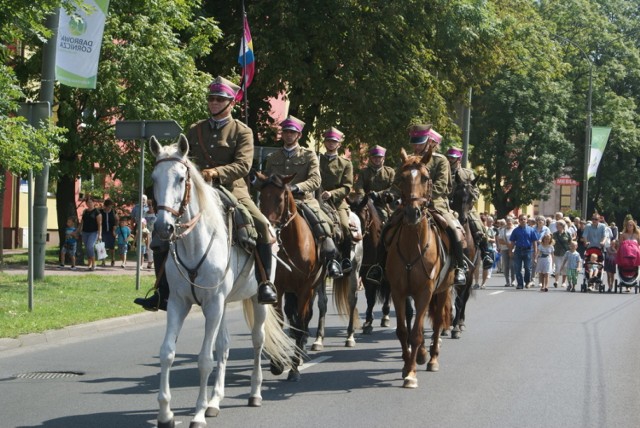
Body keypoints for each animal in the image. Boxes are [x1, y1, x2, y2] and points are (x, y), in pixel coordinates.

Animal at [149, 136, 294, 428]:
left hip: (256, 301)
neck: (194, 243)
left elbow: (205, 359)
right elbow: (167, 352)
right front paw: (166, 414)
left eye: (181, 178)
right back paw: (215, 401)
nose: (161, 227)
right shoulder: (179, 303)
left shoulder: (213, 303)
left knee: (257, 340)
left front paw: (197, 414)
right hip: (224, 304)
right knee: (224, 345)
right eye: (153, 179)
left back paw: (254, 393)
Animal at [384, 147, 456, 388]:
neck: (412, 245)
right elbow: (403, 331)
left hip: (442, 290)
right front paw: (407, 366)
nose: (412, 213)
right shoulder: (398, 292)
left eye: (425, 177)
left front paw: (411, 374)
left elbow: (416, 333)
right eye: (402, 177)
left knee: (436, 325)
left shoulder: (426, 291)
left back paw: (432, 358)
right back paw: (423, 354)